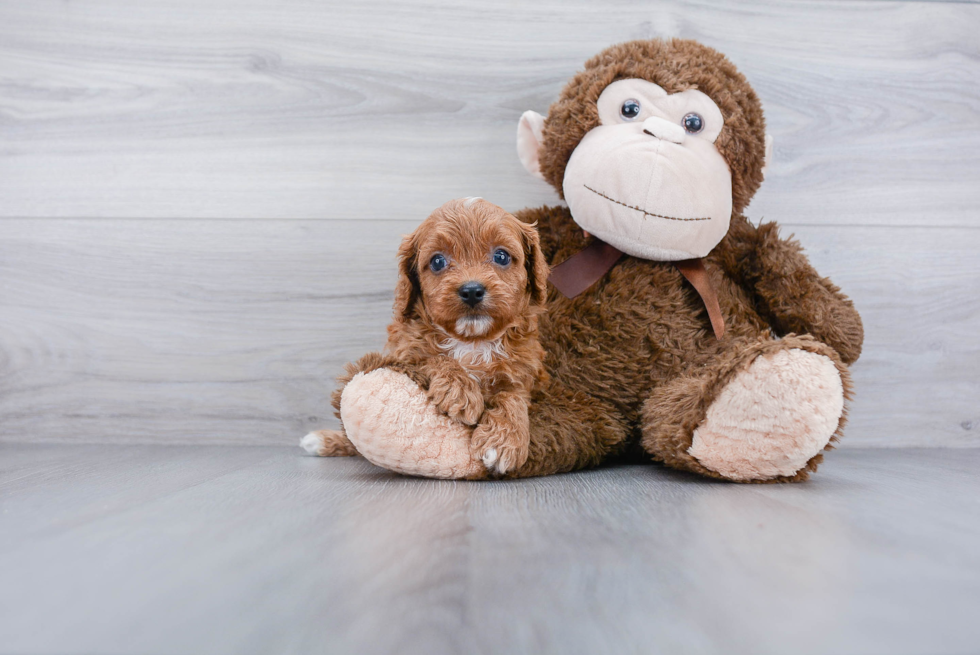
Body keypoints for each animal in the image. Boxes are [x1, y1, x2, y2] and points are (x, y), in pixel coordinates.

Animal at [304, 196, 552, 476]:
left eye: (501, 256)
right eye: (437, 261)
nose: (472, 290)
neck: (472, 341)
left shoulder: (527, 373)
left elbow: (513, 396)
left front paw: (504, 440)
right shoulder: (404, 352)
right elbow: (431, 358)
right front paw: (459, 389)